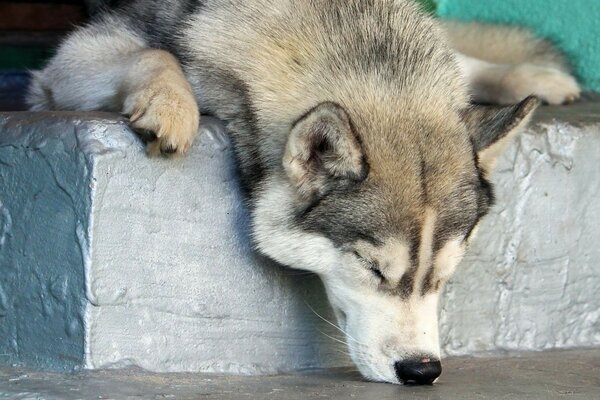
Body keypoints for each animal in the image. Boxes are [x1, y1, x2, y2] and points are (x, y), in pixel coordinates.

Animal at [27, 0, 576, 388]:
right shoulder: (71, 60)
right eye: (371, 267)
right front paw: (170, 105)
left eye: (444, 274)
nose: (422, 371)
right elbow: (155, 52)